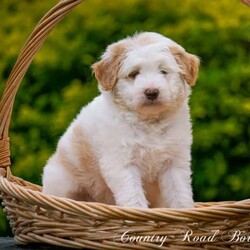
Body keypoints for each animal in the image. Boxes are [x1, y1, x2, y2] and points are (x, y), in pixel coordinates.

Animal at [42, 32, 199, 208]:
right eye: (134, 74)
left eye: (163, 71)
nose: (152, 92)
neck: (149, 122)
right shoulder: (121, 163)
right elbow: (133, 196)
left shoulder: (175, 161)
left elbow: (180, 194)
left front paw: (183, 211)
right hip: (62, 183)